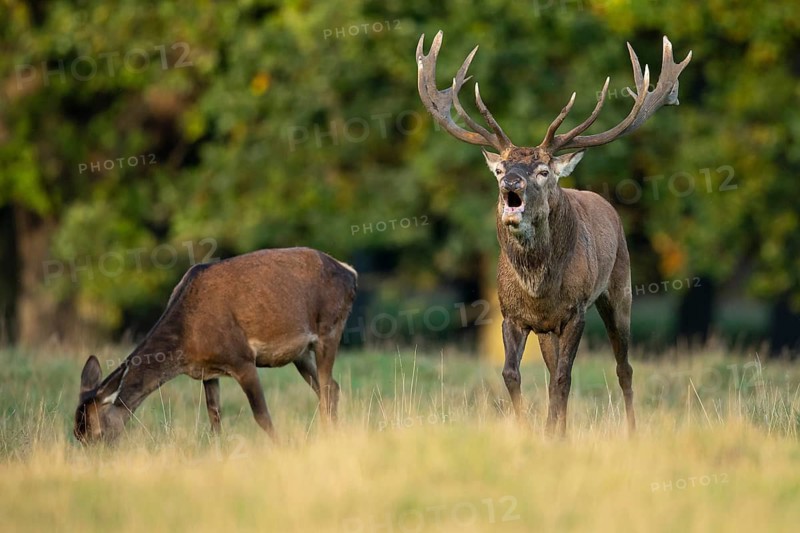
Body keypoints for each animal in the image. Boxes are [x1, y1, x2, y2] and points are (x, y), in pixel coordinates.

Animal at [74, 247, 357, 444]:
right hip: (300, 352)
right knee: (331, 387)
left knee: (327, 388)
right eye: (77, 435)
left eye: (97, 434)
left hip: (330, 328)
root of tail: (350, 272)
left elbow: (262, 415)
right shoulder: (207, 372)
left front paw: (282, 448)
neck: (187, 339)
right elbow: (215, 419)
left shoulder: (242, 358)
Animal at [417, 31, 691, 436]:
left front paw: (552, 433)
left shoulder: (574, 311)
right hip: (549, 330)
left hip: (619, 290)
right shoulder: (512, 315)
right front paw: (532, 430)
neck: (538, 288)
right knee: (552, 372)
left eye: (543, 171)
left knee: (623, 367)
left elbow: (564, 378)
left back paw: (631, 430)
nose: (511, 184)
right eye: (500, 169)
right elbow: (513, 374)